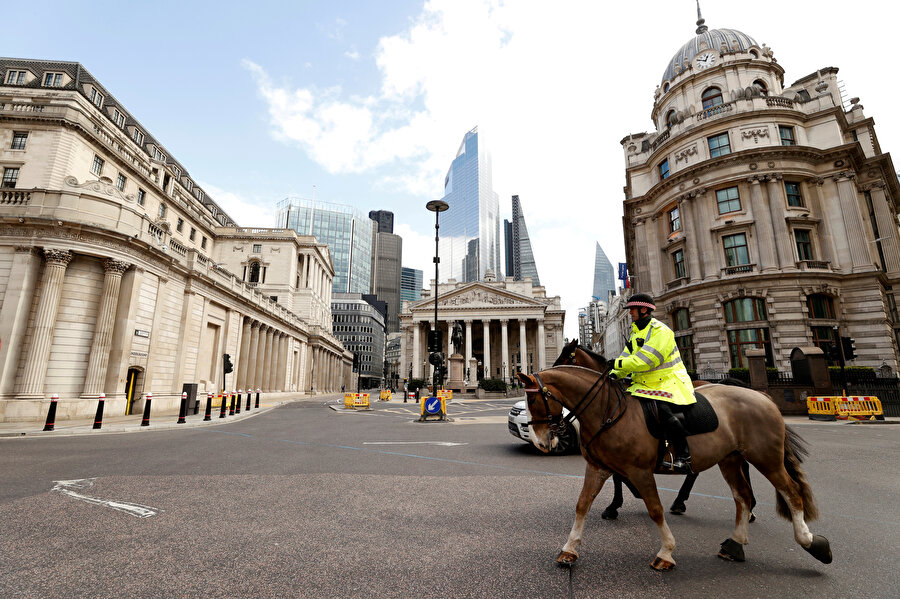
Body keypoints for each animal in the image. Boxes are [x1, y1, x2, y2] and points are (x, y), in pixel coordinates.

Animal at [516, 366, 832, 572]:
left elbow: (655, 510)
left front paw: (666, 552)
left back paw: (810, 542)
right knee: (742, 496)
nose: (541, 442)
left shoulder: (640, 471)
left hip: (766, 457)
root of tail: (763, 396)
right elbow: (582, 505)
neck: (607, 410)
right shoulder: (598, 468)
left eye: (534, 399)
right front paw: (569, 549)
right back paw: (735, 544)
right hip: (730, 459)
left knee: (791, 492)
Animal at [552, 342, 756, 520]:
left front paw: (616, 504)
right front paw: (622, 499)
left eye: (566, 357)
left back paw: (749, 508)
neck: (611, 399)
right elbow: (618, 475)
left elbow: (618, 476)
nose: (549, 372)